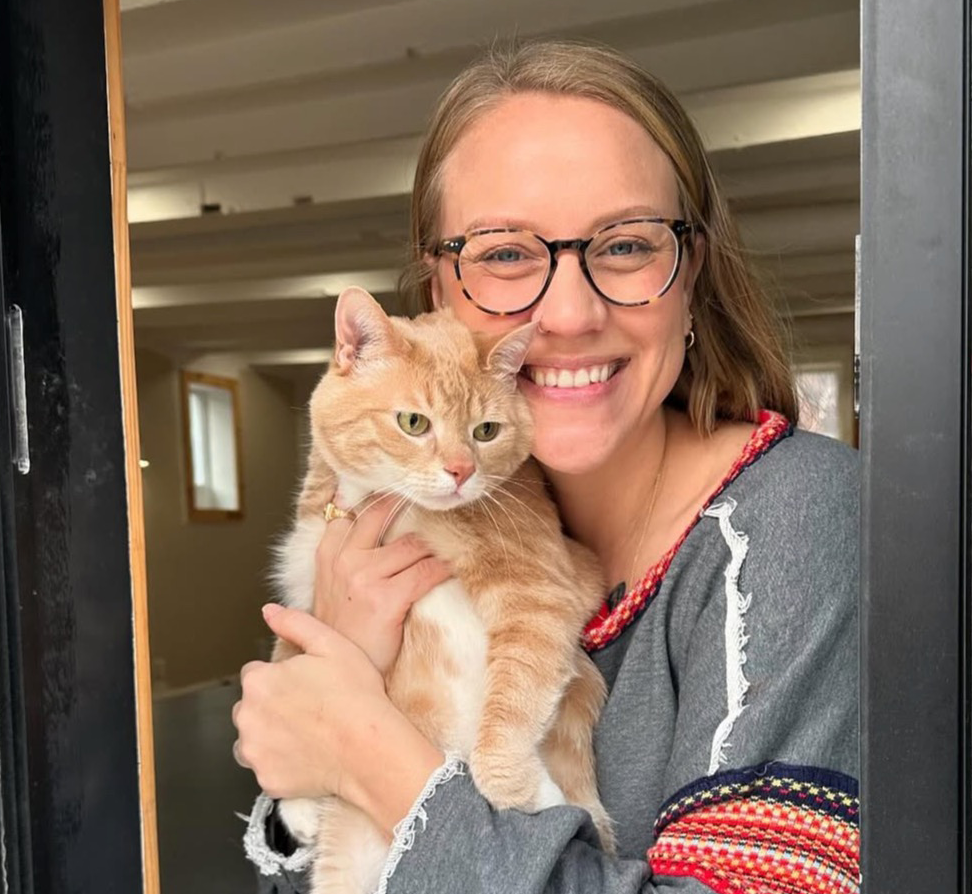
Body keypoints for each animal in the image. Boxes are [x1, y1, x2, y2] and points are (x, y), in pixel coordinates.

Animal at [272, 286, 614, 894]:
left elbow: (512, 705)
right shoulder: (304, 578)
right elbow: (290, 655)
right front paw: (296, 804)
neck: (394, 510)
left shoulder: (543, 593)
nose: (460, 471)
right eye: (414, 422)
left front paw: (524, 791)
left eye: (486, 431)